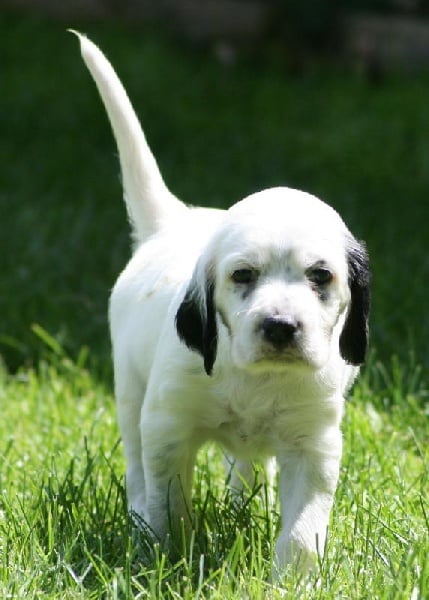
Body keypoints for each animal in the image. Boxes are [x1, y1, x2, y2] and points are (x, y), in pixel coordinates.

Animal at [73, 33, 370, 574]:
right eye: (242, 275)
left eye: (321, 276)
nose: (280, 326)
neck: (256, 378)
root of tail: (173, 220)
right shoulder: (168, 426)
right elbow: (168, 503)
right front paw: (165, 557)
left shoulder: (314, 443)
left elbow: (303, 530)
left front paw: (293, 580)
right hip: (131, 395)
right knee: (138, 474)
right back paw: (138, 521)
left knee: (249, 470)